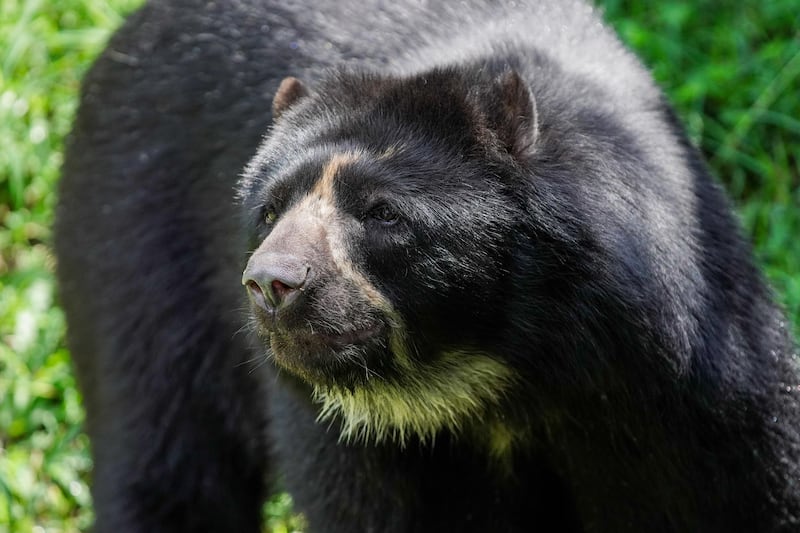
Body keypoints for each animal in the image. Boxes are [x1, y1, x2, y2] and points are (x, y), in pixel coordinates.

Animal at [53, 1, 796, 532]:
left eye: (383, 213)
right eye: (269, 210)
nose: (273, 282)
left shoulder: (685, 386)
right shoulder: (366, 449)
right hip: (132, 241)